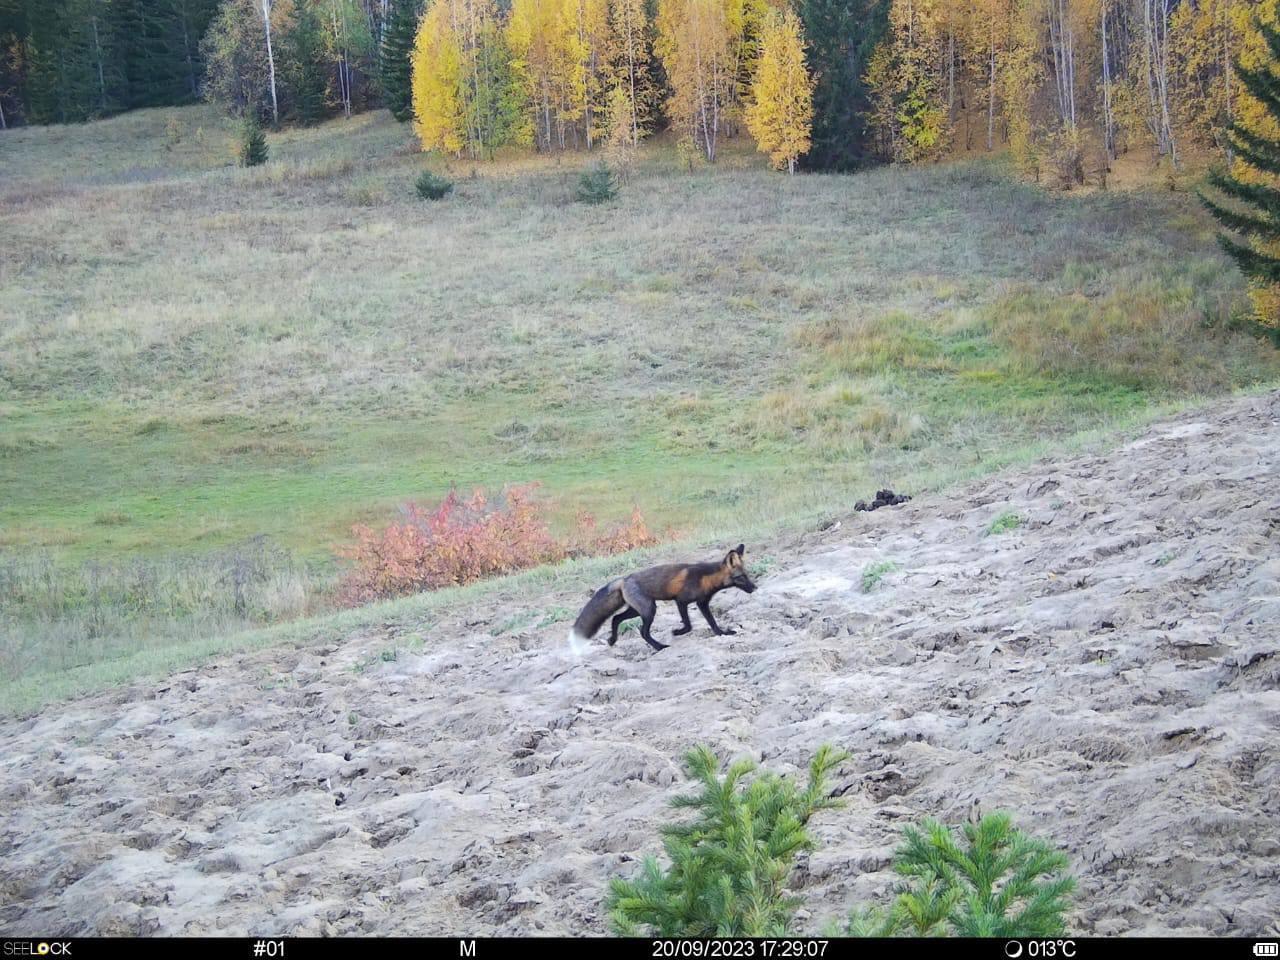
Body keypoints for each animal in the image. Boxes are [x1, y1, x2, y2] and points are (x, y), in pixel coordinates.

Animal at [573, 545, 757, 650]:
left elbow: (713, 623)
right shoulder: (681, 601)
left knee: (615, 619)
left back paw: (612, 640)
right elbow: (688, 625)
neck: (706, 578)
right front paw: (678, 632)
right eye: (742, 577)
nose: (755, 587)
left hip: (638, 610)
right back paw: (659, 647)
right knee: (642, 632)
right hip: (649, 610)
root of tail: (624, 579)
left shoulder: (702, 603)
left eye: (747, 575)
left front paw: (722, 633)